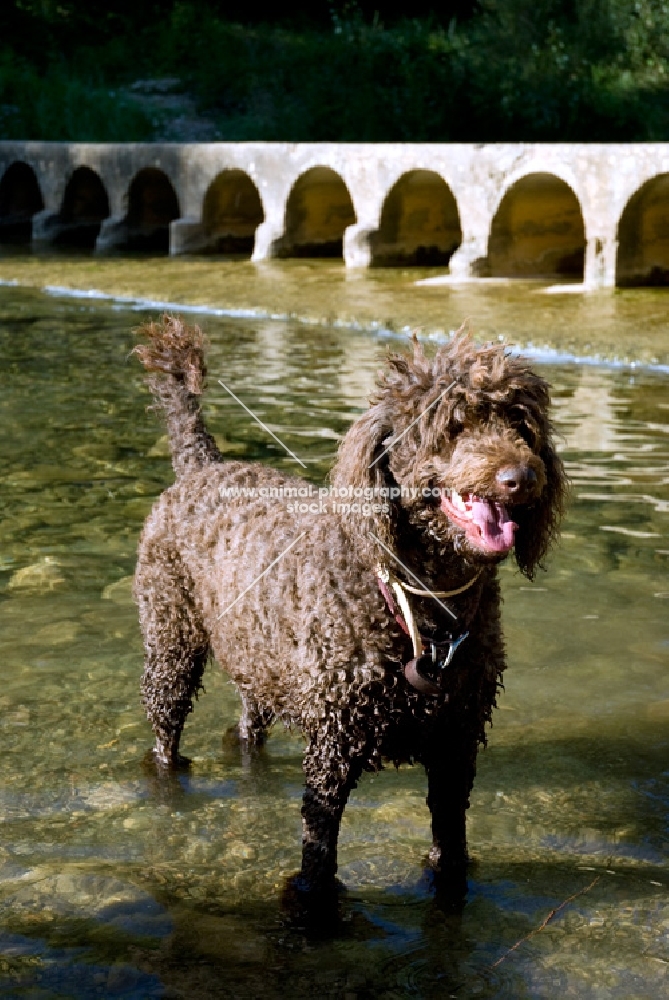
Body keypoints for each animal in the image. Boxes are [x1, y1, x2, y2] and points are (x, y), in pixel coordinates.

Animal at [130, 316, 564, 904]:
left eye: (521, 423)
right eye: (452, 427)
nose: (521, 477)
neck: (421, 607)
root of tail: (203, 465)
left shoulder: (456, 745)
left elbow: (450, 846)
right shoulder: (334, 749)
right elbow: (319, 852)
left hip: (258, 660)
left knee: (249, 721)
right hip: (171, 641)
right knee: (165, 728)